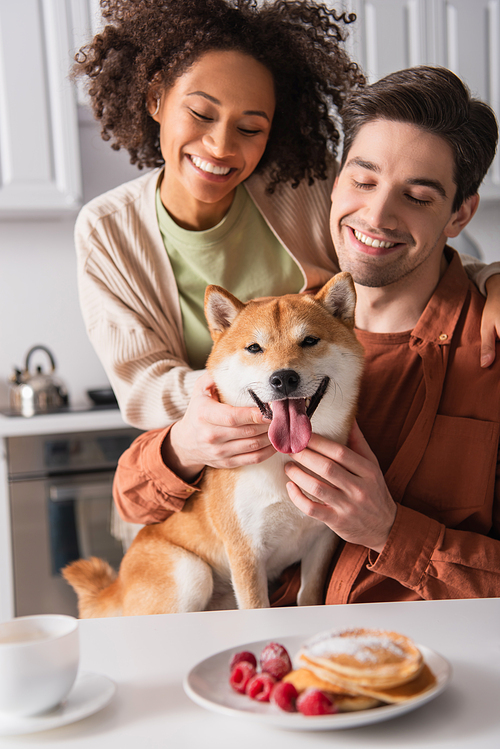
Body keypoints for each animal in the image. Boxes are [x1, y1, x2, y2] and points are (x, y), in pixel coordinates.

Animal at [64, 272, 366, 616]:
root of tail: (114, 589)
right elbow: (257, 606)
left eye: (310, 341)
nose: (283, 378)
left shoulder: (320, 543)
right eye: (254, 348)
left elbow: (310, 597)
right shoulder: (245, 553)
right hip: (191, 573)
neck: (283, 460)